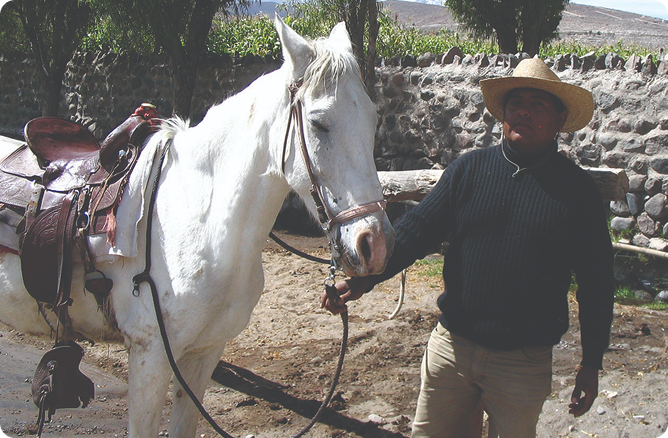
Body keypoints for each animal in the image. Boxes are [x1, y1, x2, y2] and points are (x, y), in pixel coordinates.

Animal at [0, 17, 395, 437]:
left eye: (373, 119)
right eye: (319, 123)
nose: (375, 245)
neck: (198, 225)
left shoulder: (204, 354)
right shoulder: (150, 360)